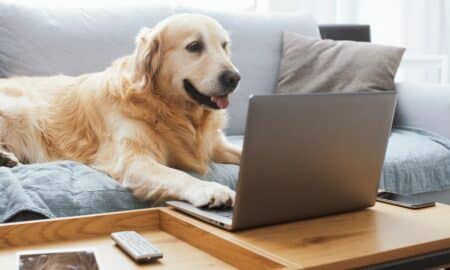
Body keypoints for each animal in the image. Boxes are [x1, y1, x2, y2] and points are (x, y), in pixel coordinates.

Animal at [0, 13, 243, 208]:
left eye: (224, 46)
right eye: (194, 46)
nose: (234, 78)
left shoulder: (216, 145)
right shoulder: (134, 162)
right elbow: (179, 175)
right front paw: (212, 189)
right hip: (21, 110)